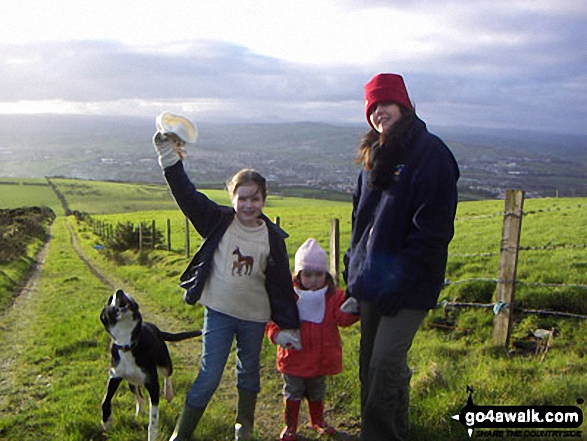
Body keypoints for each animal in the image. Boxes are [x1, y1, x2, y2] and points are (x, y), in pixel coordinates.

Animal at [101, 288, 202, 440]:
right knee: (140, 398)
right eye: (109, 300)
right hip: (131, 382)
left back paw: (168, 393)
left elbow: (153, 420)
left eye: (130, 297)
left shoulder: (152, 383)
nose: (119, 292)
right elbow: (105, 401)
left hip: (164, 361)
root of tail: (155, 328)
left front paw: (152, 435)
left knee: (168, 374)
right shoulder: (114, 376)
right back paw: (139, 414)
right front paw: (107, 422)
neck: (127, 344)